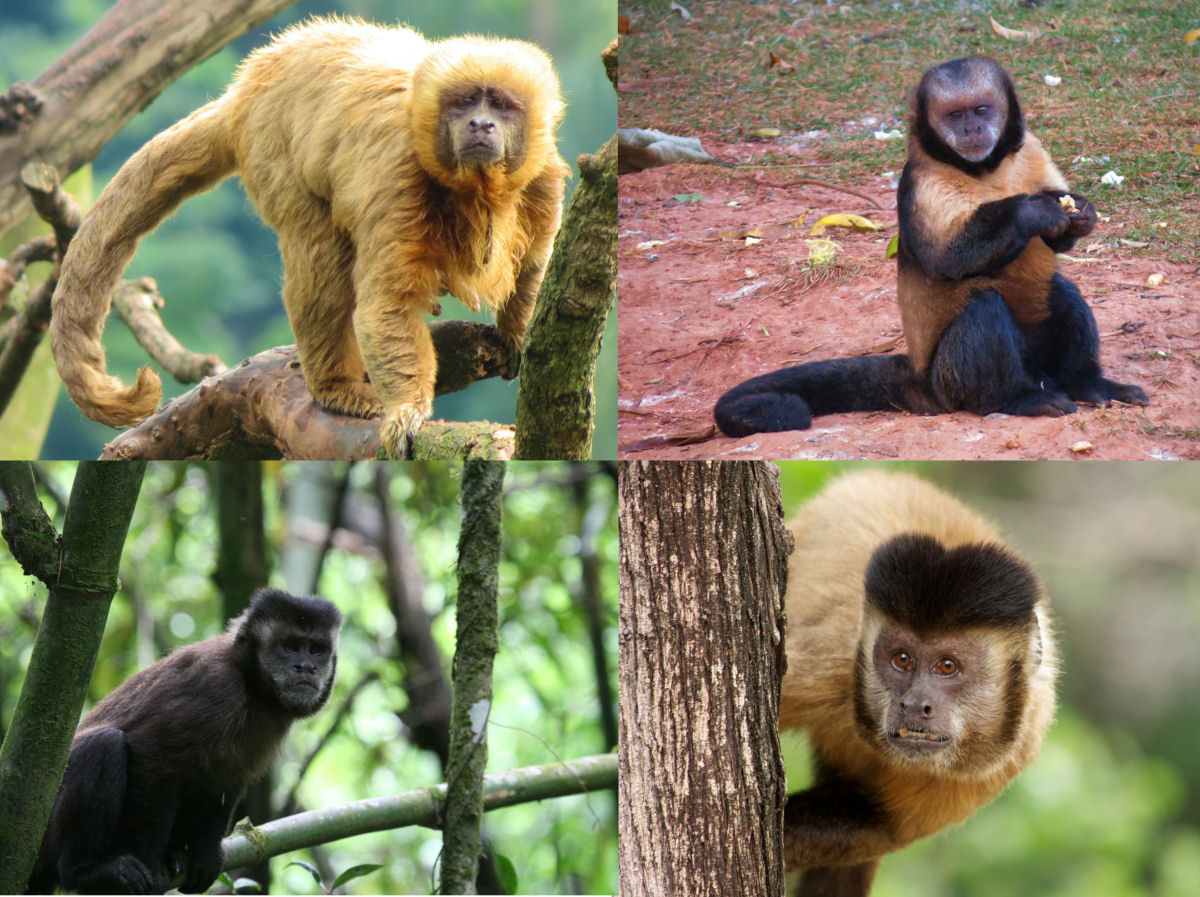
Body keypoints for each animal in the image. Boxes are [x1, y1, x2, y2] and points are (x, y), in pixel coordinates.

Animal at [26, 589, 341, 895]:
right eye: (289, 647)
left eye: (316, 650)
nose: (306, 667)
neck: (249, 684)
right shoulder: (215, 687)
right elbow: (153, 755)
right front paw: (151, 866)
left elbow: (227, 779)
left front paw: (204, 856)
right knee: (103, 746)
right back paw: (86, 869)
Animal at [49, 17, 570, 458]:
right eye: (464, 103)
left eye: (500, 105)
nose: (480, 124)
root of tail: (250, 81)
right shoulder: (399, 174)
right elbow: (386, 306)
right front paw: (408, 411)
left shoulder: (543, 176)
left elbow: (535, 266)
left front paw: (518, 336)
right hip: (269, 146)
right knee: (320, 255)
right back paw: (335, 387)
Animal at [714, 55, 1147, 438]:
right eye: (954, 116)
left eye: (980, 110)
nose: (972, 130)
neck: (984, 168)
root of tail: (922, 379)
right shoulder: (922, 179)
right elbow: (946, 258)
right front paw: (1031, 212)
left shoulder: (1030, 148)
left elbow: (1060, 235)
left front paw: (1080, 213)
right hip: (949, 381)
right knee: (984, 307)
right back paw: (1014, 400)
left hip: (1035, 361)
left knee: (1061, 291)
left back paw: (1084, 384)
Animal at [780, 470, 1056, 897]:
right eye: (901, 660)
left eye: (948, 667)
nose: (913, 704)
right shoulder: (826, 664)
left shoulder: (1008, 754)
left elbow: (874, 823)